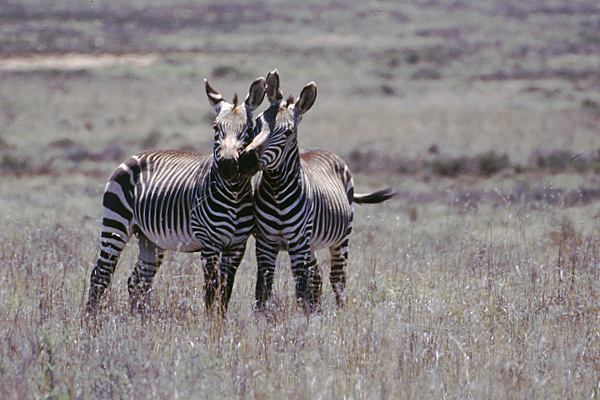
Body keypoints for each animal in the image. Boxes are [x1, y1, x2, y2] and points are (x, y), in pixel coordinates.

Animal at [85, 77, 266, 316]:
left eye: (249, 129)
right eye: (215, 127)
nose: (228, 166)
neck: (233, 195)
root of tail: (133, 156)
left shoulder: (236, 245)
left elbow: (225, 292)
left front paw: (221, 322)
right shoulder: (209, 244)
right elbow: (211, 291)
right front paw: (211, 325)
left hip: (149, 237)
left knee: (138, 280)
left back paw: (138, 321)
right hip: (116, 223)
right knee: (101, 274)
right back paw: (90, 321)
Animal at [237, 70, 396, 310]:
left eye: (288, 132)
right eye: (256, 124)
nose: (246, 161)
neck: (277, 192)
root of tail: (324, 151)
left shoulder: (298, 244)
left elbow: (301, 290)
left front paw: (303, 320)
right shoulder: (265, 242)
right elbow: (262, 290)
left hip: (340, 239)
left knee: (337, 279)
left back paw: (339, 312)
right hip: (311, 244)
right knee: (318, 276)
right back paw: (318, 310)